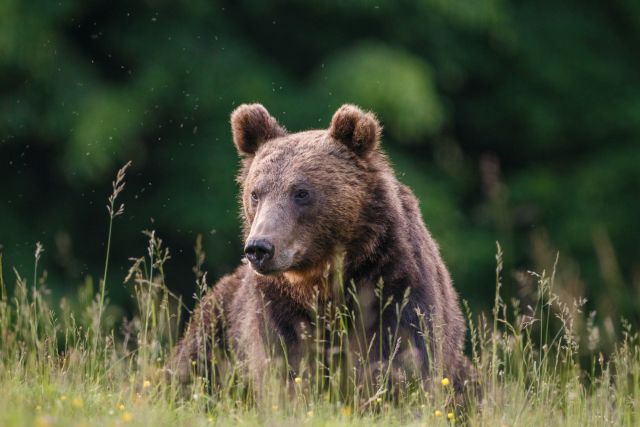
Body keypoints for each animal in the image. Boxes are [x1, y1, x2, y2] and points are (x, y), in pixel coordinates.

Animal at [169, 103, 470, 398]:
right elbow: (286, 364)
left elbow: (403, 357)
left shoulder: (394, 281)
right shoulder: (278, 306)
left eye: (301, 192)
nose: (259, 248)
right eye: (255, 193)